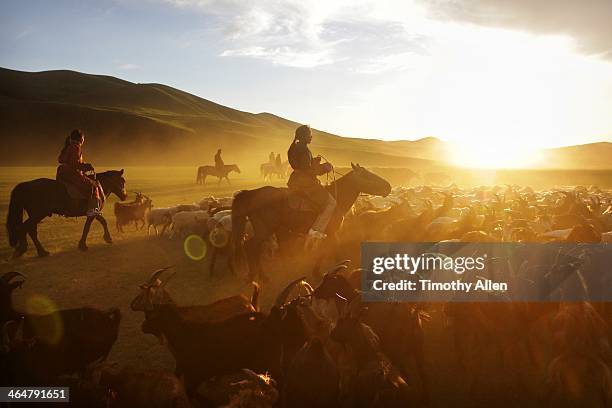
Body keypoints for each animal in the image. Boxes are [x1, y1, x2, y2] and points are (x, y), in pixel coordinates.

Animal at [232, 163, 390, 280]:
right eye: (367, 175)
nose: (388, 187)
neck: (337, 197)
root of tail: (251, 194)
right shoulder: (331, 232)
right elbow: (330, 250)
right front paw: (331, 270)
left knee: (252, 247)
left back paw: (258, 274)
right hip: (264, 229)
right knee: (250, 246)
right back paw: (259, 275)